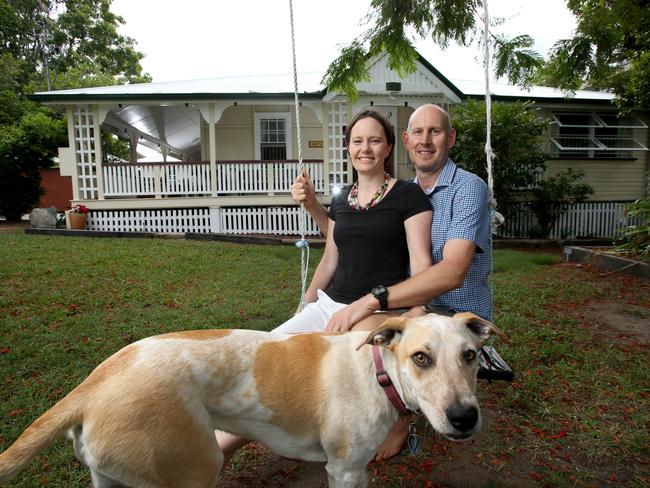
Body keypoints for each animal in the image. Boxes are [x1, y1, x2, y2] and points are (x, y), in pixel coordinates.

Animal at [0, 312, 502, 488]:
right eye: (421, 358)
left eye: (470, 356)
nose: (464, 418)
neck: (378, 373)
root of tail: (94, 382)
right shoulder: (341, 471)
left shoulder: (355, 471)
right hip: (194, 472)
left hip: (110, 479)